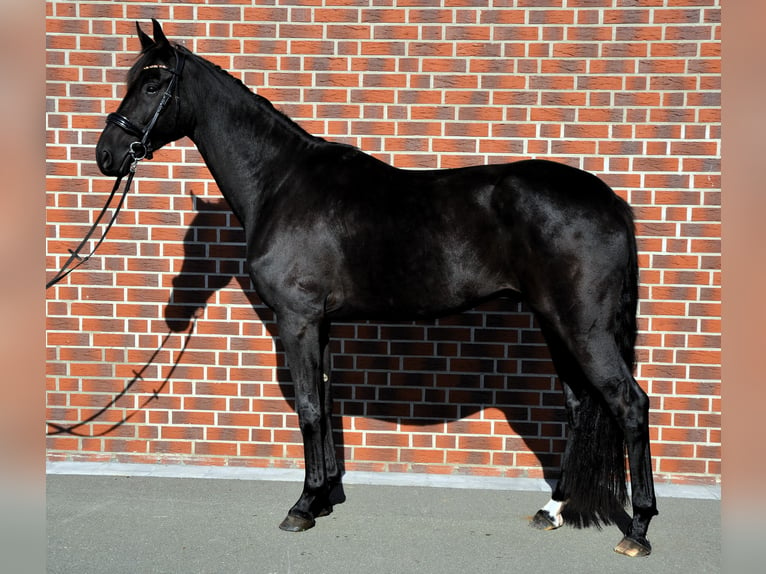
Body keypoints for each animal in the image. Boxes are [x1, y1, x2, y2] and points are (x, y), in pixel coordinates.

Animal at [97, 20, 660, 556]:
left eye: (153, 83)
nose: (107, 155)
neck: (281, 184)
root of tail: (611, 203)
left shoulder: (297, 320)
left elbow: (307, 408)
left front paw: (302, 506)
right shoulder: (319, 324)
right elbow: (324, 404)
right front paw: (324, 497)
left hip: (582, 328)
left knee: (629, 404)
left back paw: (637, 529)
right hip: (556, 323)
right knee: (580, 405)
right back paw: (553, 508)